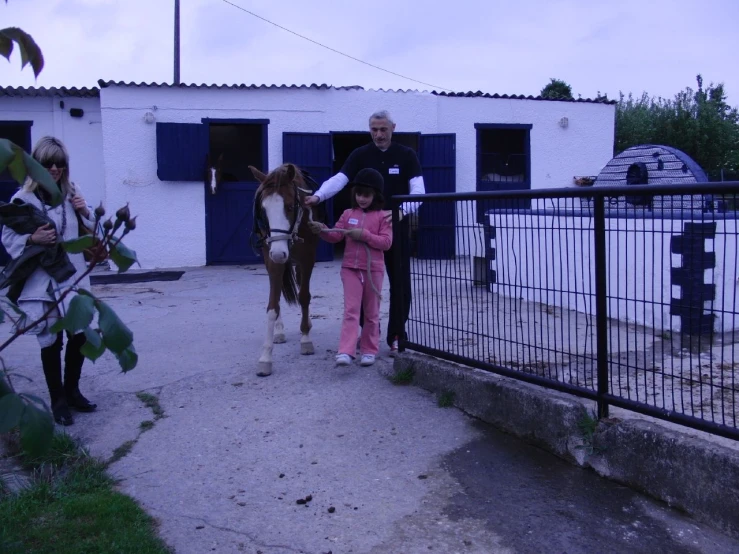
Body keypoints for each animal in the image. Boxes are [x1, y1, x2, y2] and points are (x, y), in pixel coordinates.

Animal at [250, 161, 320, 376]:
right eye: (263, 210)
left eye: (289, 207)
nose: (279, 253)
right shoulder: (271, 259)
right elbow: (272, 305)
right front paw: (266, 357)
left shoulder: (307, 258)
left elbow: (304, 296)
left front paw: (306, 339)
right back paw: (279, 331)